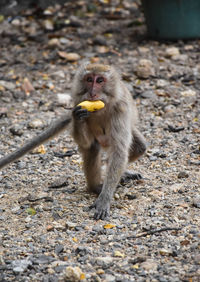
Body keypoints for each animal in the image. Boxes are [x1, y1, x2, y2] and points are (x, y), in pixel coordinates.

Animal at [0, 64, 147, 220]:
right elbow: (86, 143)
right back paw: (95, 186)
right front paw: (78, 117)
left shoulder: (121, 109)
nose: (92, 93)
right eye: (89, 80)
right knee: (93, 148)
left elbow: (119, 150)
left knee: (139, 147)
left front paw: (105, 198)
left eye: (100, 80)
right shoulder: (77, 103)